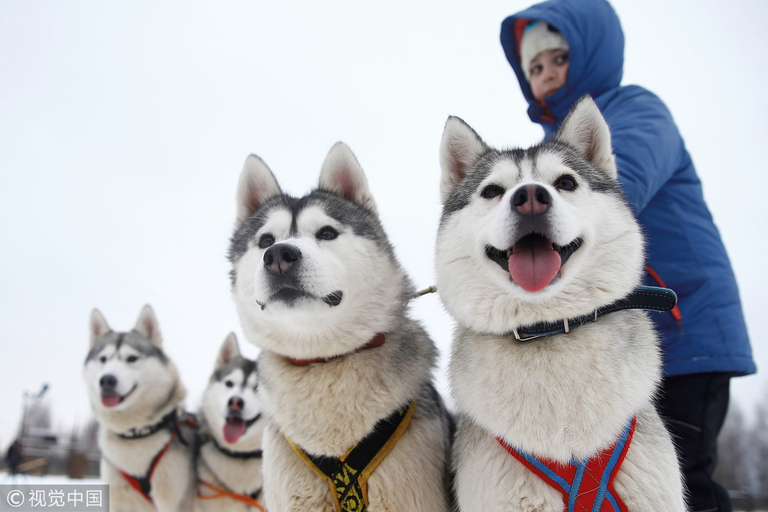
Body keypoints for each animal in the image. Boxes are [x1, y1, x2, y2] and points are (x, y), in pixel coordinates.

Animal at [83, 306, 198, 512]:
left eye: (131, 358)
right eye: (103, 359)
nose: (106, 380)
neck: (136, 434)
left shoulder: (172, 501)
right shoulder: (117, 499)